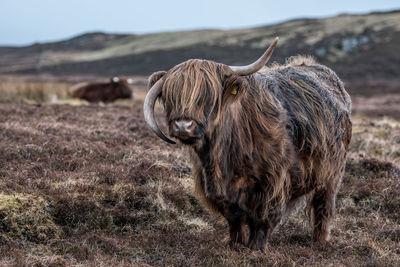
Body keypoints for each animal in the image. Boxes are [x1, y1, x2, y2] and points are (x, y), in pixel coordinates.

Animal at [144, 37, 354, 251]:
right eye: (171, 97)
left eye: (208, 97)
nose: (183, 126)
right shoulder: (214, 185)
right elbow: (233, 217)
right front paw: (235, 243)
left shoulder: (272, 180)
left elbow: (264, 217)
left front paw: (255, 248)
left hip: (332, 173)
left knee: (323, 206)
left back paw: (319, 241)